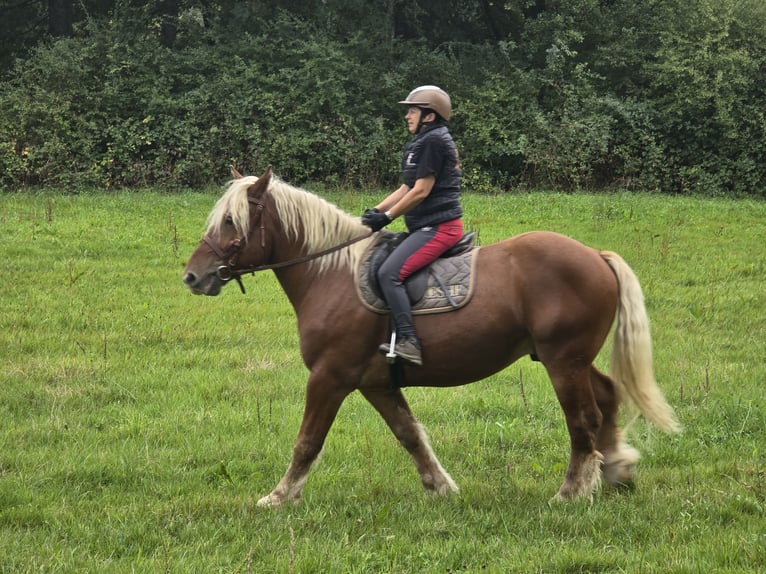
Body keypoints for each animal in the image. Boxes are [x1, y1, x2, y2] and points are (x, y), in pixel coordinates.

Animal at [182, 166, 680, 507]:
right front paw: (441, 487)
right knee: (608, 396)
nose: (193, 276)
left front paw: (279, 497)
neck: (331, 274)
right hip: (567, 358)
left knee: (583, 418)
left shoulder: (330, 376)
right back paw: (617, 469)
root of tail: (595, 255)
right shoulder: (376, 383)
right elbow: (410, 435)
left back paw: (571, 491)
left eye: (232, 222)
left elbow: (308, 441)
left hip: (563, 362)